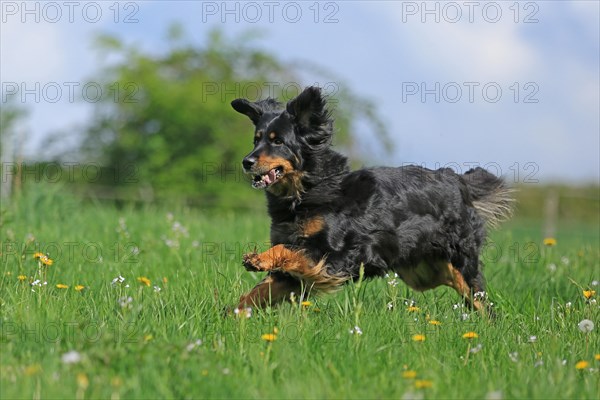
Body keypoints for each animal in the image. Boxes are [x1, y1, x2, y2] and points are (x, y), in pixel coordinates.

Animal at [232, 86, 512, 312]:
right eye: (256, 140)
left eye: (277, 141)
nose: (246, 162)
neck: (308, 189)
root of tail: (458, 181)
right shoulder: (296, 273)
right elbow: (257, 292)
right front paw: (232, 316)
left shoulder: (336, 256)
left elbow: (286, 250)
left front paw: (258, 259)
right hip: (424, 272)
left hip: (460, 263)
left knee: (483, 303)